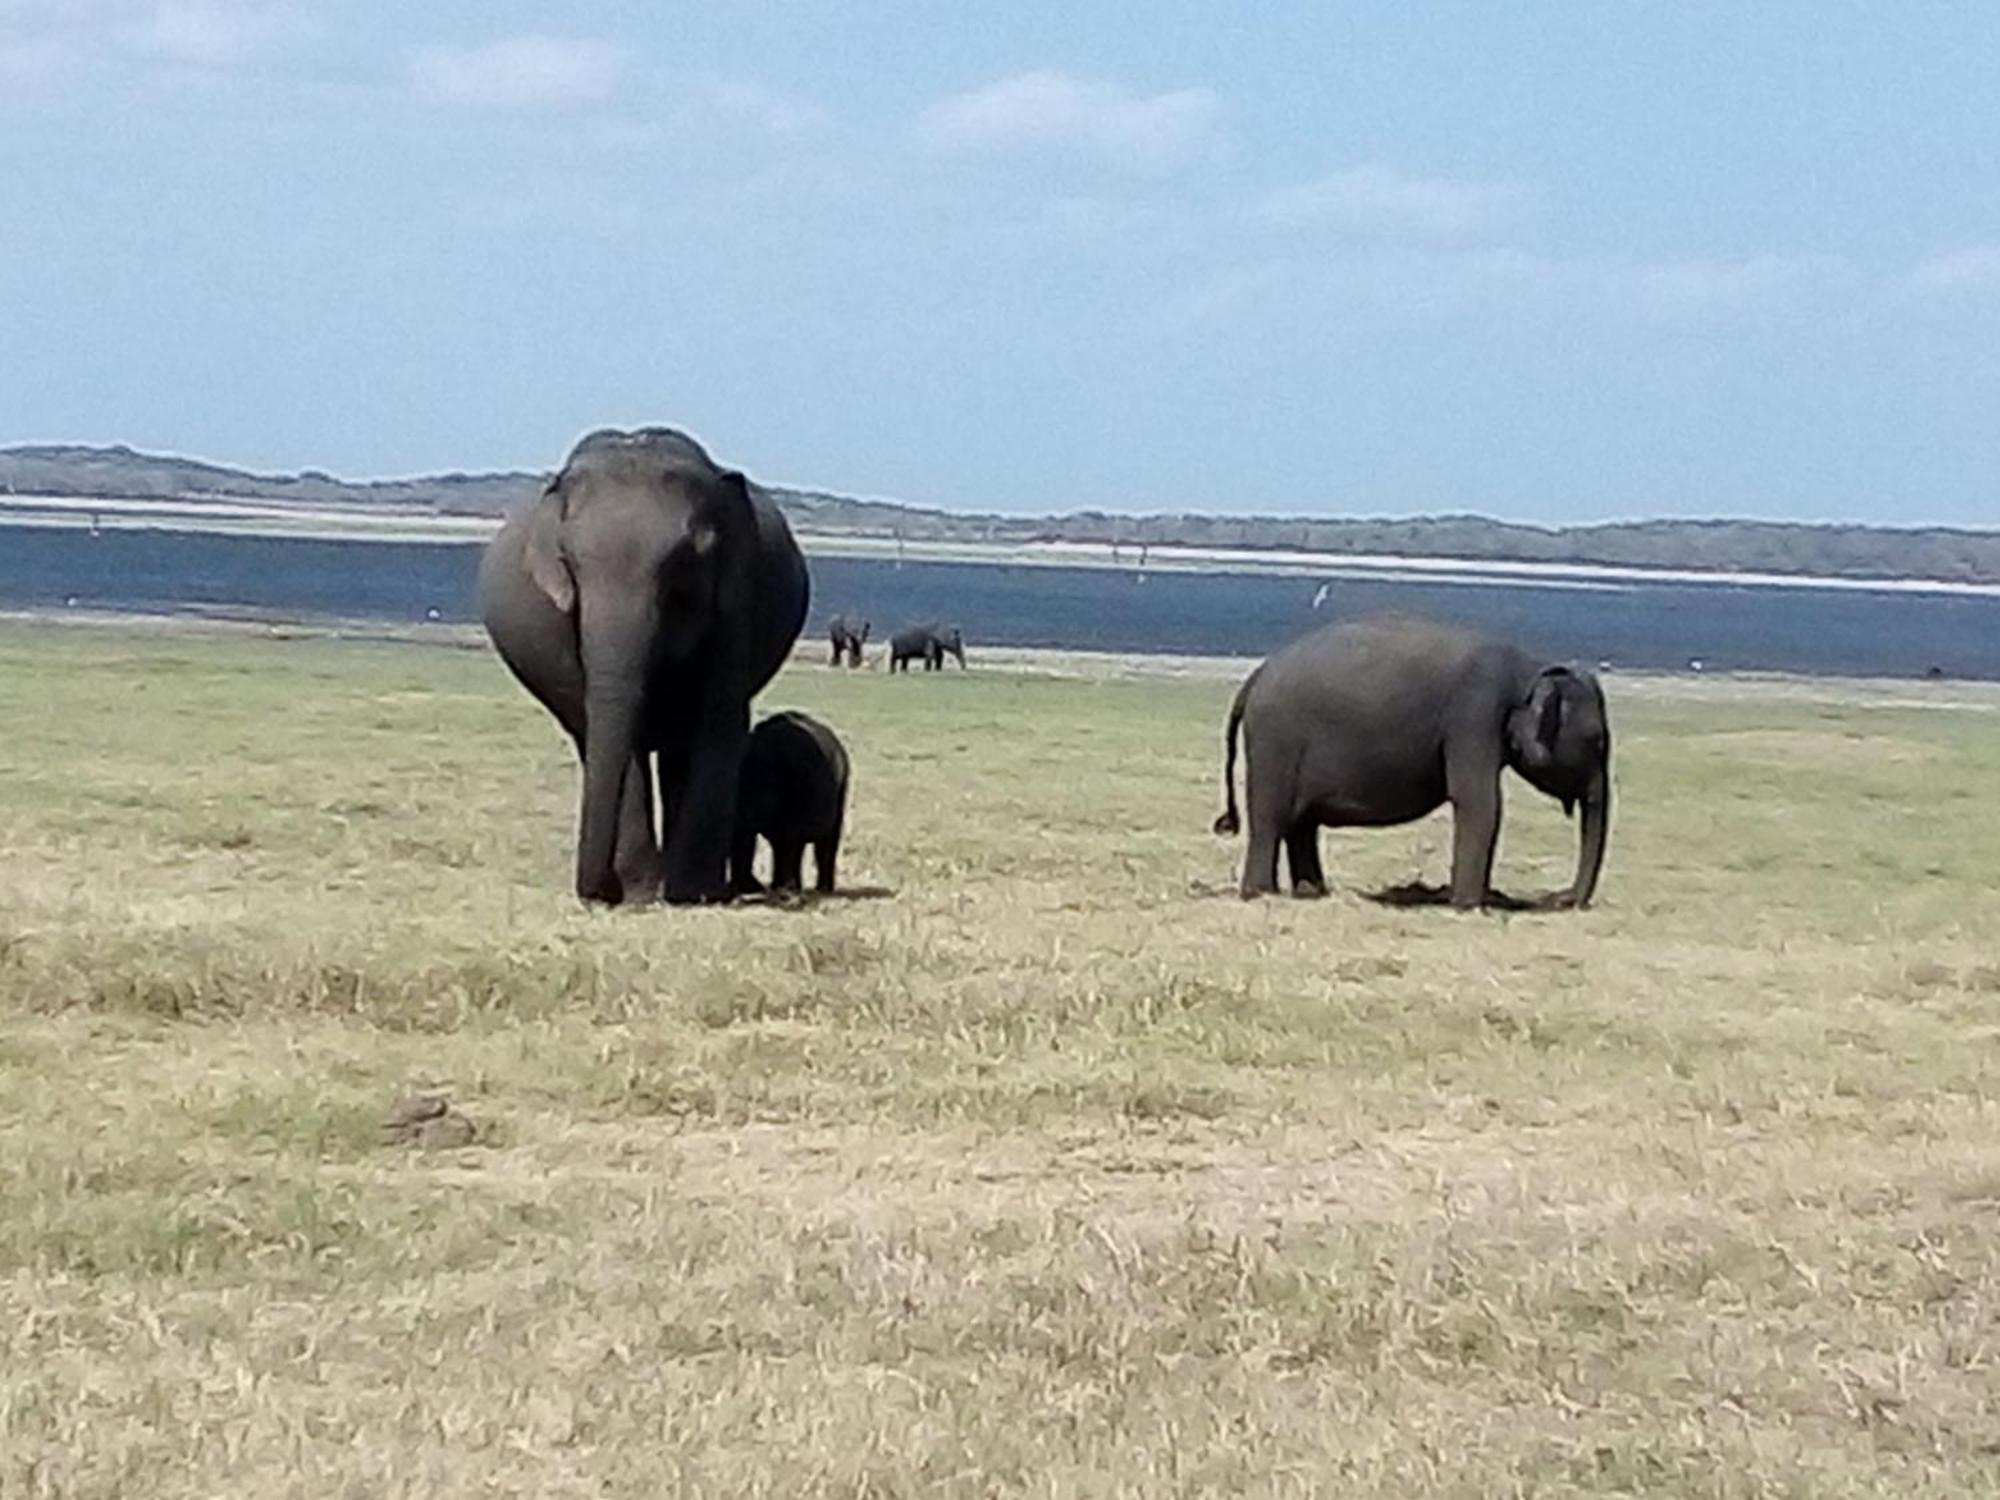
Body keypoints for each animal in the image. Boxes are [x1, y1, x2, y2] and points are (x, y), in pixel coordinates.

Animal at [476, 428, 804, 912]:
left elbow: (718, 721)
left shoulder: (737, 599)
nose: (594, 893)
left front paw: (693, 894)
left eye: (682, 564)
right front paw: (641, 894)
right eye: (568, 563)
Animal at [732, 712, 848, 900]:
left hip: (841, 789)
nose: (756, 887)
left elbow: (788, 838)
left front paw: (784, 889)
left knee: (825, 840)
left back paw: (820, 889)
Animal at [1200, 612, 1608, 916]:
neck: (1531, 667)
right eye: (1599, 742)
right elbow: (1480, 802)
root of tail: (1255, 677)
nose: (1562, 899)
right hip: (1275, 742)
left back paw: (1311, 892)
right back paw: (1261, 894)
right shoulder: (1475, 716)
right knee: (1271, 821)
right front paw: (1469, 908)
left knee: (1301, 824)